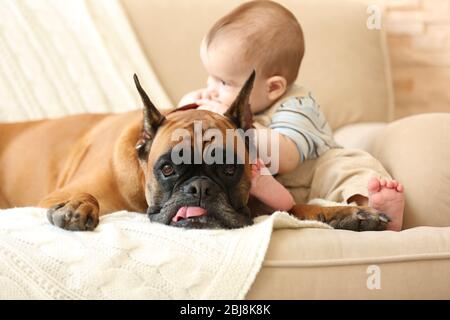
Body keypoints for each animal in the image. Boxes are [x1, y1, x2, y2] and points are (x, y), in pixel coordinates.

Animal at [0, 72, 388, 231]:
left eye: (230, 170)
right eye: (168, 169)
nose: (199, 188)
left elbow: (298, 208)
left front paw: (347, 214)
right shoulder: (52, 195)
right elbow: (84, 195)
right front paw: (79, 207)